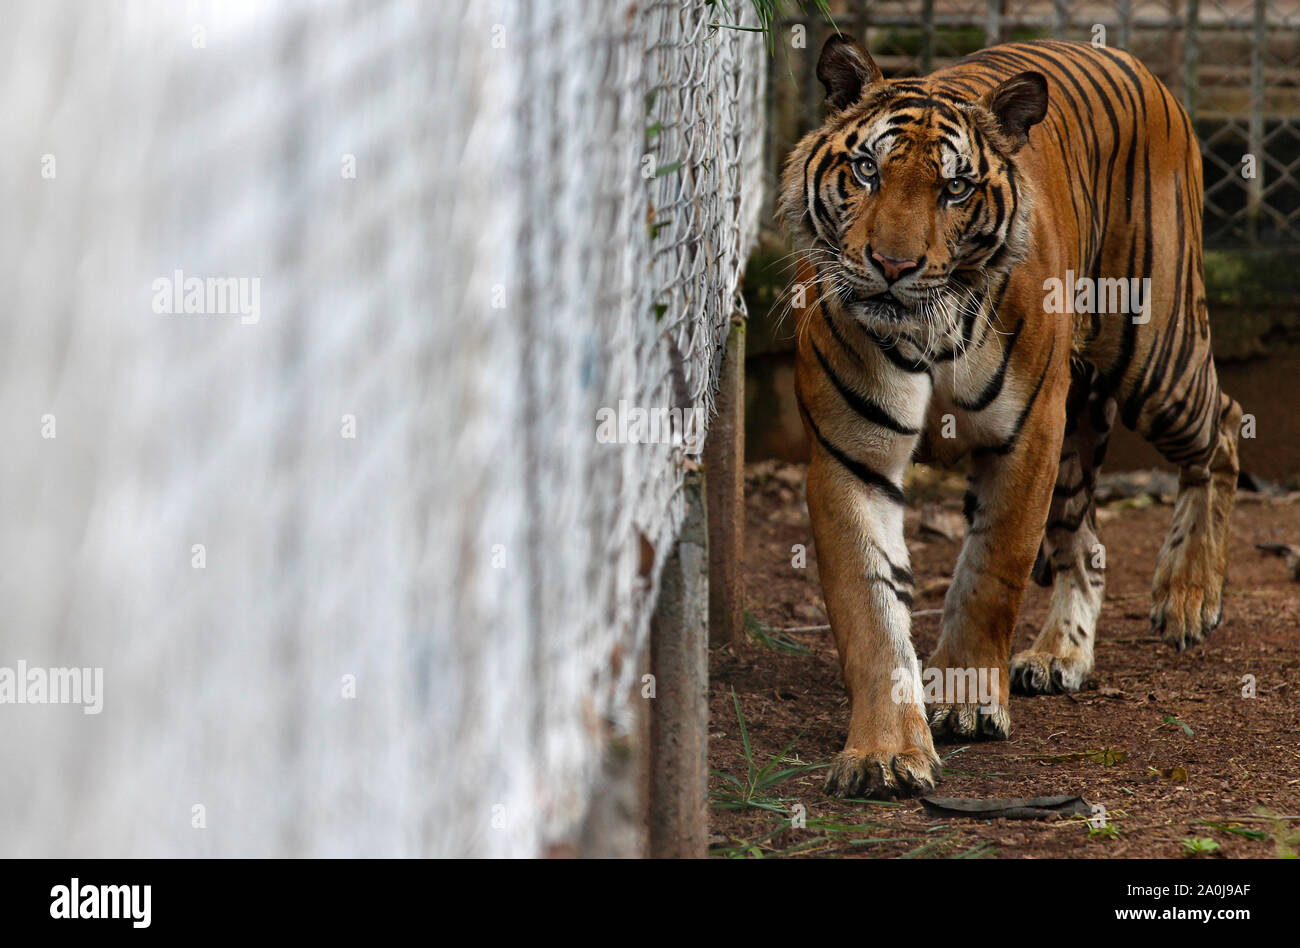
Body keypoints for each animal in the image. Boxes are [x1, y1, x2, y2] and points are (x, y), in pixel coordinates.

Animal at [774, 33, 1242, 795]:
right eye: (867, 170)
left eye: (954, 188)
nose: (892, 266)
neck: (926, 328)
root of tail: (1134, 63)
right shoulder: (853, 458)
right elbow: (872, 611)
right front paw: (884, 752)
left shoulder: (1028, 437)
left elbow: (993, 571)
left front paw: (965, 702)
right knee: (1087, 541)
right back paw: (1059, 656)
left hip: (1155, 358)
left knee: (1224, 426)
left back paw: (1187, 595)